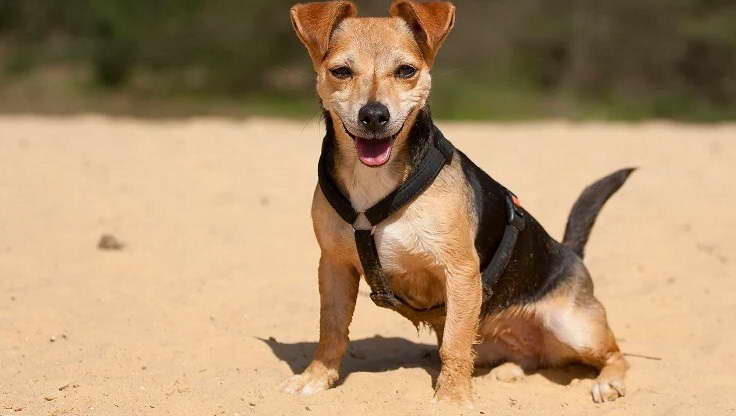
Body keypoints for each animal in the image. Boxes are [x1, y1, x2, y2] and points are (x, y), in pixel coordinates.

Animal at [282, 0, 632, 404]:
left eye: (406, 71)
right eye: (340, 71)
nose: (374, 115)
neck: (375, 183)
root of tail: (569, 251)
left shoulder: (461, 271)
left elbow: (455, 344)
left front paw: (451, 398)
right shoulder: (334, 266)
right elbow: (332, 329)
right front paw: (316, 377)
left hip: (574, 326)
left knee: (615, 354)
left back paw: (608, 383)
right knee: (532, 358)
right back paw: (510, 372)